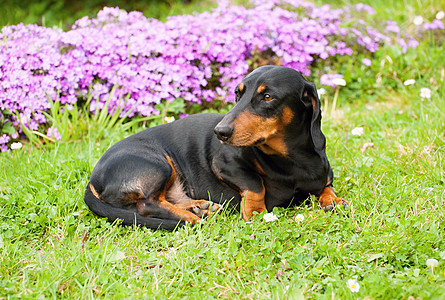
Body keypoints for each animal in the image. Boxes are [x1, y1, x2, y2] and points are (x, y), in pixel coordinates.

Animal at [84, 65, 346, 230]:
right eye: (238, 94)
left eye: (268, 97)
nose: (220, 132)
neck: (290, 159)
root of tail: (93, 179)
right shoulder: (224, 164)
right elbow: (255, 184)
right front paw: (256, 212)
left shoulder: (324, 175)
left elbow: (326, 186)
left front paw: (332, 200)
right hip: (158, 164)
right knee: (147, 205)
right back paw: (194, 218)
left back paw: (200, 207)